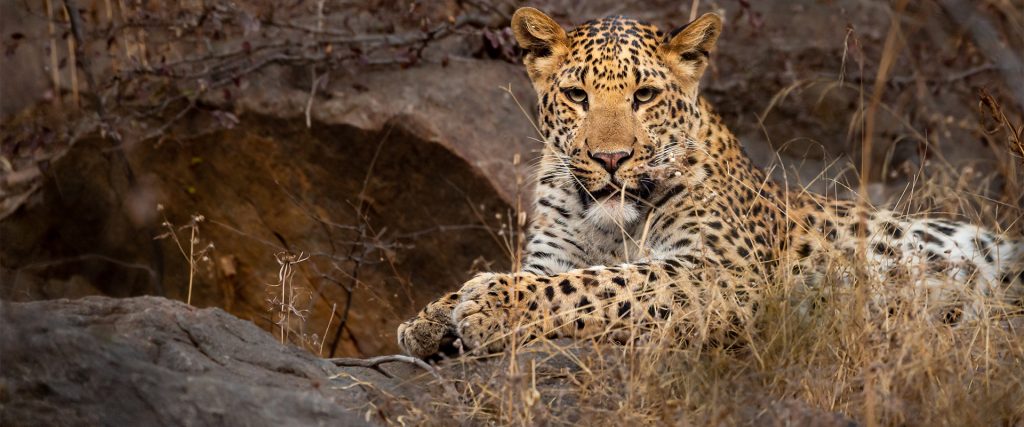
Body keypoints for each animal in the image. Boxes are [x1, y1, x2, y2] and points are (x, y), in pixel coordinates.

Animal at [393, 8, 1024, 358]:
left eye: (644, 96)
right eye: (576, 95)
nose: (612, 158)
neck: (610, 224)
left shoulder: (726, 273)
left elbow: (601, 284)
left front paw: (489, 301)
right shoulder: (553, 255)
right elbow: (555, 276)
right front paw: (428, 319)